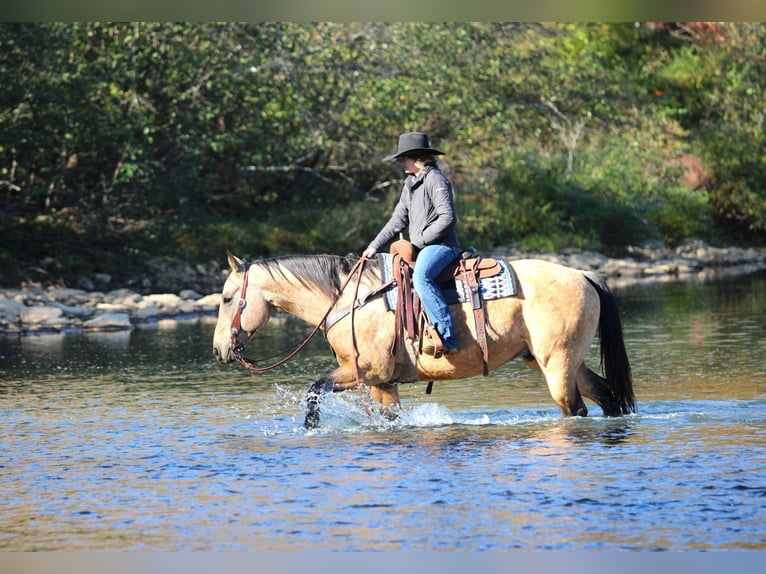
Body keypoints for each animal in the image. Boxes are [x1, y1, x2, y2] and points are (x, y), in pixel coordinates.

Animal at [212, 251, 635, 428]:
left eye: (228, 298)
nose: (219, 350)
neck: (350, 301)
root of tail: (583, 274)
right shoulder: (382, 382)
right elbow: (388, 417)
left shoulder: (364, 371)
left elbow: (314, 390)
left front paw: (312, 427)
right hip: (562, 361)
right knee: (608, 397)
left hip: (558, 366)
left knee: (575, 410)